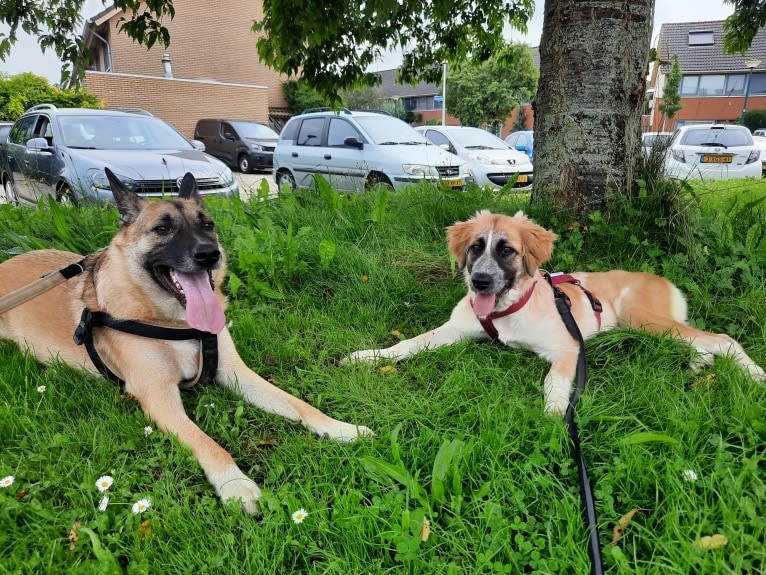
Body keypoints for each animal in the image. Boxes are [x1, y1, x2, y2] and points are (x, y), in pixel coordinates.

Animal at [0, 170, 372, 512]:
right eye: (162, 230)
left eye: (207, 225)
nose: (209, 254)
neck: (174, 322)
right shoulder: (159, 396)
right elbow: (207, 442)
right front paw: (236, 484)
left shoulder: (236, 374)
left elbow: (299, 405)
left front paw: (341, 428)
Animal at [350, 212, 766, 414]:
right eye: (476, 247)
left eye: (506, 250)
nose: (480, 283)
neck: (505, 311)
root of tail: (664, 280)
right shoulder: (454, 330)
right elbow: (408, 344)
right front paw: (368, 357)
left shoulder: (568, 346)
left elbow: (554, 381)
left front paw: (552, 417)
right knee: (698, 340)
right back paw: (700, 364)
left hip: (641, 317)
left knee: (722, 338)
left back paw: (754, 375)